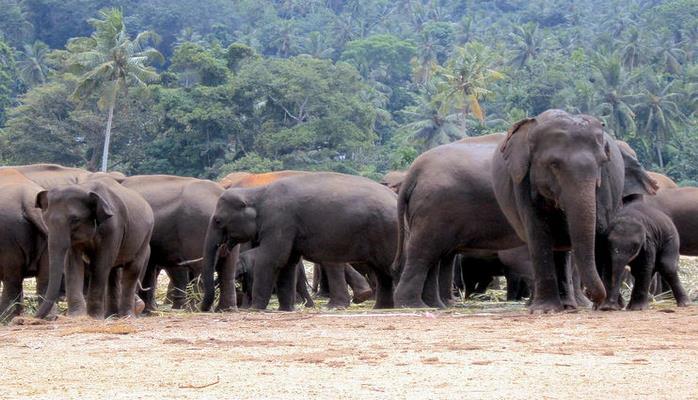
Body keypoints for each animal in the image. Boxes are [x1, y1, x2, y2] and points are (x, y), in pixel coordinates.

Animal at [490, 109, 652, 312]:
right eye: (553, 164)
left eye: (602, 162)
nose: (595, 298)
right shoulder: (522, 182)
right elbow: (538, 233)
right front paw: (544, 309)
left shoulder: (605, 184)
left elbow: (600, 231)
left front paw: (606, 306)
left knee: (563, 252)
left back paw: (569, 305)